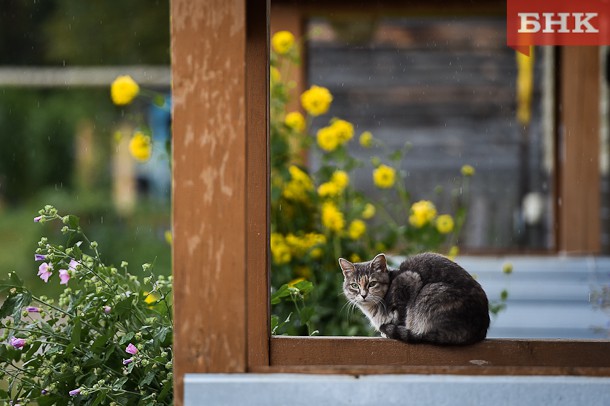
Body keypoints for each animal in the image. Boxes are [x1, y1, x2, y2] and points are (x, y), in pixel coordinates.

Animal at [338, 252, 490, 344]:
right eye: (354, 285)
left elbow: (400, 316)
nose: (363, 294)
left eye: (372, 283)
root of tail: (479, 327)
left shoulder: (409, 281)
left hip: (429, 292)